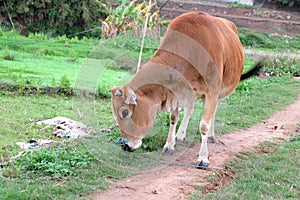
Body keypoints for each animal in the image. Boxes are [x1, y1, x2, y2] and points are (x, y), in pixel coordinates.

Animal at [109, 11, 260, 168]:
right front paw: (169, 145)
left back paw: (211, 136)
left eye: (125, 112)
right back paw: (180, 135)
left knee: (213, 112)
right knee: (190, 109)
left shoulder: (212, 91)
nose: (125, 146)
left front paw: (203, 158)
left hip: (220, 90)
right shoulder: (176, 92)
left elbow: (204, 125)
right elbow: (173, 118)